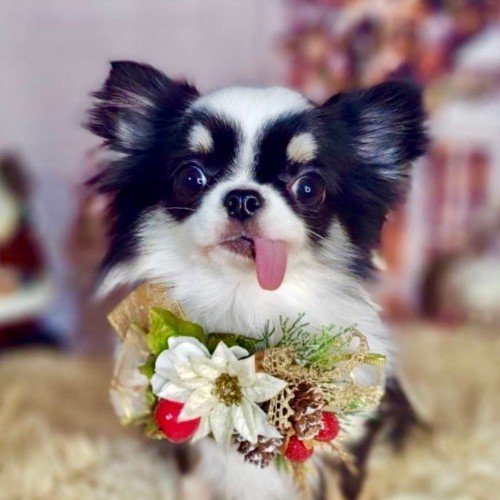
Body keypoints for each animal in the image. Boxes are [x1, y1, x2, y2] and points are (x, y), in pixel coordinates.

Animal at [86, 61, 428, 499]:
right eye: (190, 179)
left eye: (309, 187)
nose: (243, 197)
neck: (244, 300)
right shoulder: (190, 454)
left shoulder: (344, 449)